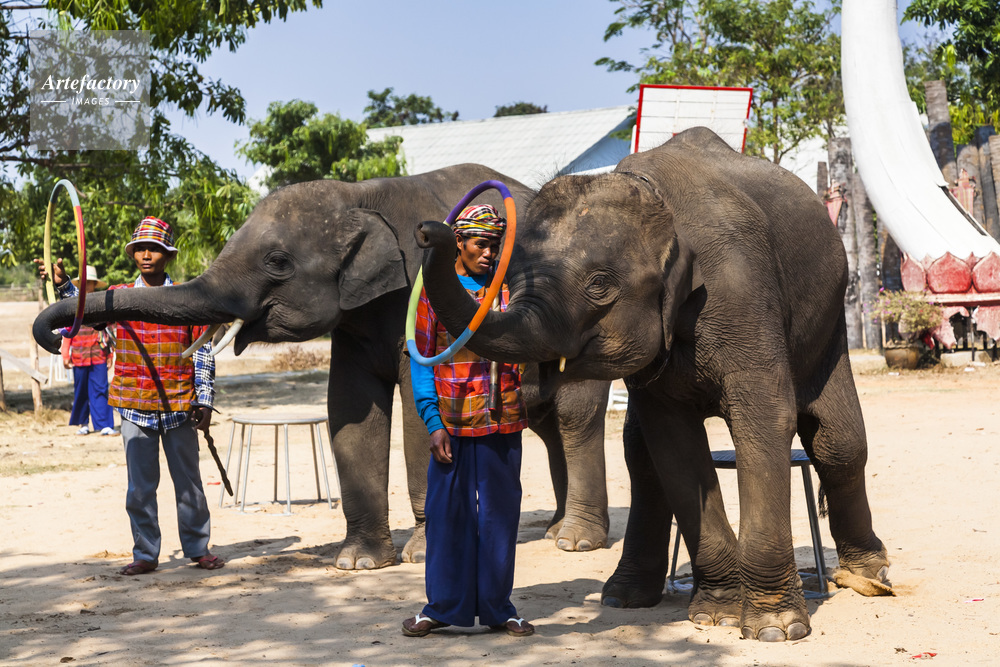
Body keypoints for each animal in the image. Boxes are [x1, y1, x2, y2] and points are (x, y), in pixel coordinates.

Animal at [33, 164, 612, 569]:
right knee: (549, 428)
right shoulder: (356, 320)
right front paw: (357, 563)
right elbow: (350, 411)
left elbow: (416, 412)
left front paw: (421, 554)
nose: (60, 330)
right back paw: (555, 529)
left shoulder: (415, 292)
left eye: (278, 263)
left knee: (575, 418)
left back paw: (576, 542)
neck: (359, 197)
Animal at [413, 128, 892, 642]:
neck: (656, 202)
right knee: (642, 457)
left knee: (838, 443)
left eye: (599, 285)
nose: (429, 230)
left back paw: (869, 575)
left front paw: (775, 629)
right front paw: (717, 615)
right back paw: (624, 597)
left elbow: (763, 423)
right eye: (514, 277)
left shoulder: (744, 289)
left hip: (830, 319)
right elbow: (673, 444)